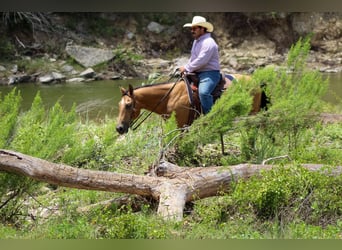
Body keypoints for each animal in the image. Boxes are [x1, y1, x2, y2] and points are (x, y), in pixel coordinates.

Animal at [116, 73, 266, 134]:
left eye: (128, 105)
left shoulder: (181, 125)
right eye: (119, 105)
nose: (119, 128)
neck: (170, 96)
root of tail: (256, 81)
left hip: (253, 114)